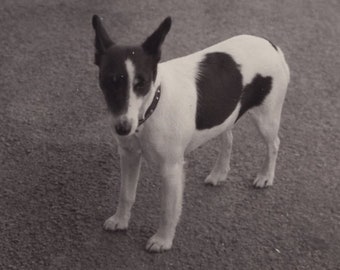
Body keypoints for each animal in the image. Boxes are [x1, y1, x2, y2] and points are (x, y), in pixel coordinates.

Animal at [92, 14, 290, 252]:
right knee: (228, 138)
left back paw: (265, 176)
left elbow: (168, 209)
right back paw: (219, 173)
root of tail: (271, 45)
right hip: (224, 114)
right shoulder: (129, 156)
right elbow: (126, 193)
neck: (151, 108)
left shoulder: (171, 169)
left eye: (142, 84)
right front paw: (120, 220)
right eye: (109, 82)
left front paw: (163, 240)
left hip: (266, 119)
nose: (123, 128)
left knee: (274, 144)